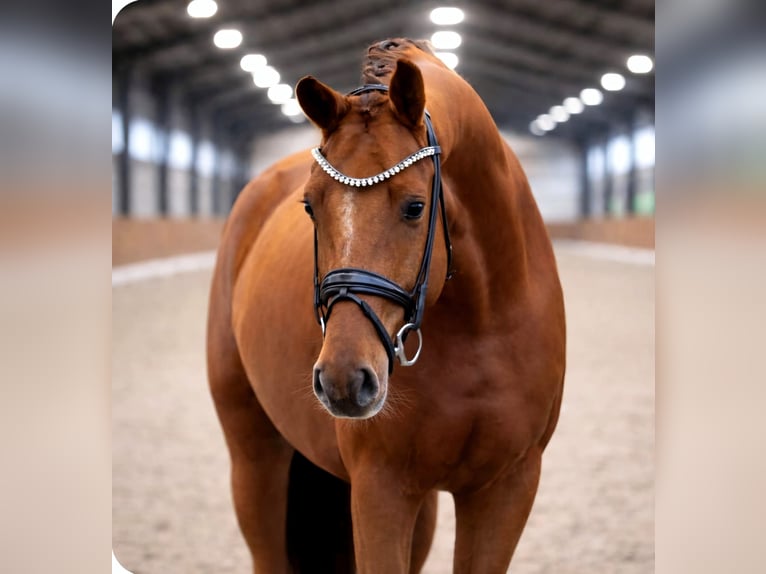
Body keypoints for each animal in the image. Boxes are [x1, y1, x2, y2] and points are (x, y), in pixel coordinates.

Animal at [207, 38, 566, 573]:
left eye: (415, 206)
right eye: (310, 205)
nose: (343, 380)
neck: (482, 327)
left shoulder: (508, 486)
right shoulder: (381, 487)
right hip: (254, 455)